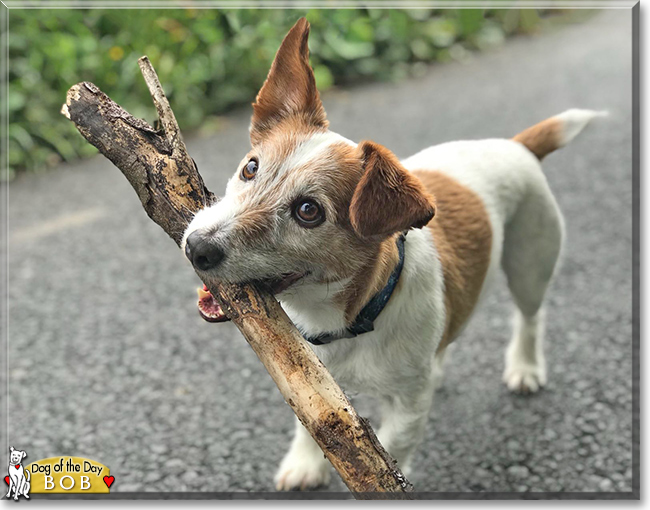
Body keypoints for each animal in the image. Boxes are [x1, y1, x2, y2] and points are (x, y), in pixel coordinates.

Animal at [181, 18, 604, 490]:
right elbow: (311, 424)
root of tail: (516, 145)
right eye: (250, 168)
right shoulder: (310, 379)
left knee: (530, 316)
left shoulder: (407, 404)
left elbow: (392, 448)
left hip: (531, 263)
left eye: (308, 211)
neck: (350, 319)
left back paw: (526, 367)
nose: (196, 247)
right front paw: (306, 463)